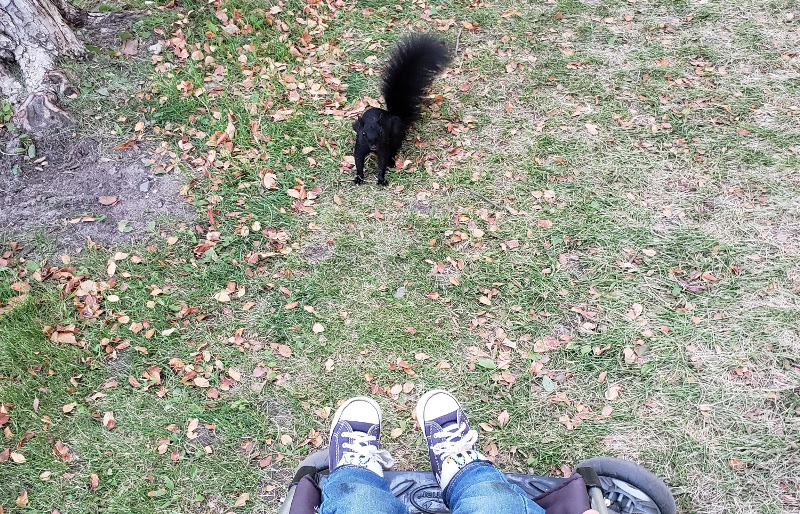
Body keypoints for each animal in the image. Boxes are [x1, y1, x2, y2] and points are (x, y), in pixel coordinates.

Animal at [350, 32, 450, 184]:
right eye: (363, 134)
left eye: (380, 132)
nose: (373, 145)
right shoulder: (360, 146)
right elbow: (358, 161)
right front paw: (359, 177)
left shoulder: (383, 146)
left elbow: (383, 160)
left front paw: (381, 178)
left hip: (396, 132)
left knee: (394, 149)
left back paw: (392, 162)